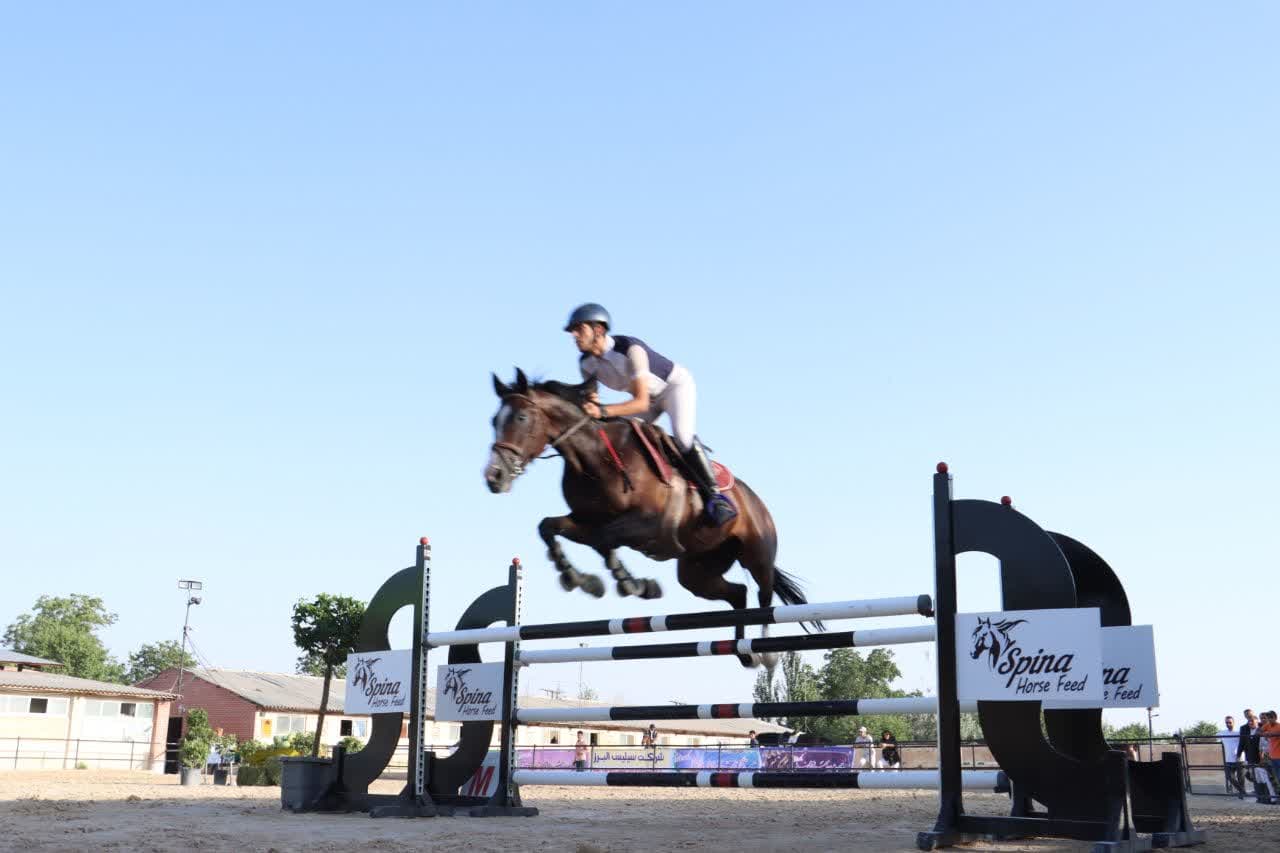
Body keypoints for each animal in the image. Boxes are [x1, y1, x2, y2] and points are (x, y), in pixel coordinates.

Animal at [483, 366, 814, 666]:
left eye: (521, 418)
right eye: (494, 421)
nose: (494, 477)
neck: (594, 456)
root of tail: (757, 502)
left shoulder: (647, 524)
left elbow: (602, 541)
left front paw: (624, 583)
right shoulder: (587, 519)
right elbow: (551, 528)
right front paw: (585, 579)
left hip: (756, 555)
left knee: (764, 595)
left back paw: (766, 654)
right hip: (697, 572)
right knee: (738, 593)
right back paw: (744, 652)